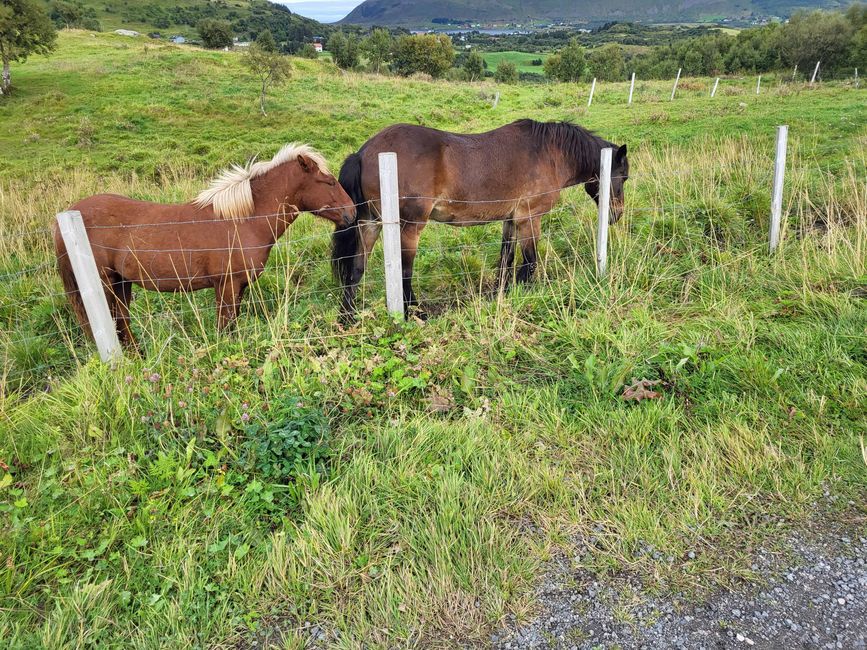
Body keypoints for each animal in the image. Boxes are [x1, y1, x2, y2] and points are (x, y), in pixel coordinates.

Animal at [57, 144, 356, 346]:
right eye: (329, 181)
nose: (352, 213)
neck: (243, 220)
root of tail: (68, 216)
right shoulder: (227, 285)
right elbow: (225, 327)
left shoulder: (239, 286)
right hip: (106, 284)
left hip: (122, 282)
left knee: (122, 322)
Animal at [334, 119, 632, 318]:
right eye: (623, 177)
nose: (616, 215)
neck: (550, 153)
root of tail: (364, 152)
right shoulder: (530, 218)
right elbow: (530, 261)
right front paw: (527, 293)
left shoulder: (511, 219)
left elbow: (506, 259)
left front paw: (501, 293)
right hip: (409, 228)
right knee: (405, 272)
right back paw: (415, 312)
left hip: (370, 224)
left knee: (356, 267)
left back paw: (348, 316)